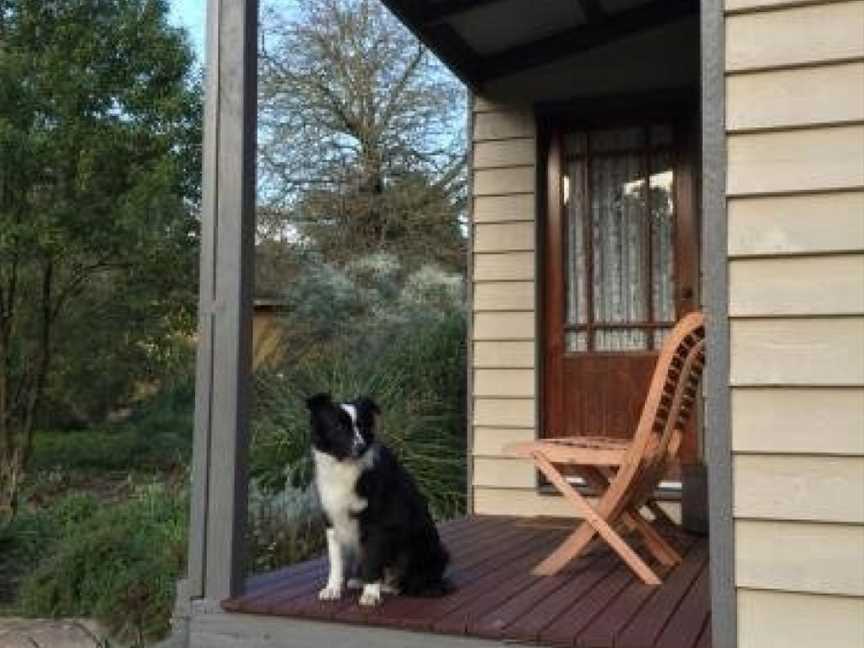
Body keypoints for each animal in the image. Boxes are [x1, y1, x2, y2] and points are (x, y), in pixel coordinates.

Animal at [306, 394, 452, 608]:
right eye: (339, 427)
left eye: (362, 426)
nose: (360, 447)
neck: (345, 468)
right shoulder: (332, 521)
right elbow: (336, 562)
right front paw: (332, 589)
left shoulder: (377, 524)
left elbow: (373, 561)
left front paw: (370, 594)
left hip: (415, 548)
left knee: (410, 581)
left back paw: (390, 586)